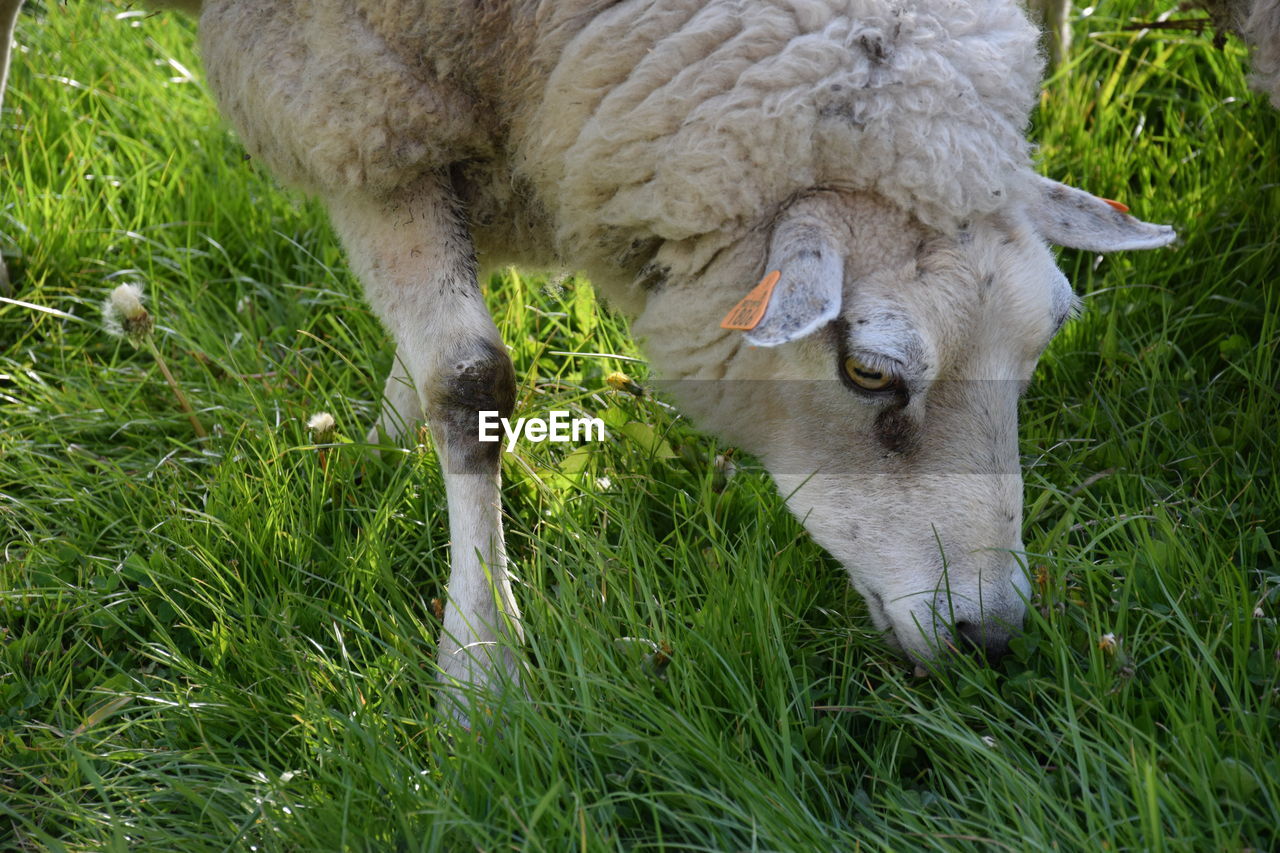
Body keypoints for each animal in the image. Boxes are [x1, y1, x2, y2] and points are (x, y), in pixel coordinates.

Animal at [5, 0, 1172, 722]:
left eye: (1039, 347)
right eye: (870, 373)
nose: (991, 635)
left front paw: (381, 435)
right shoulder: (357, 95)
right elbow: (470, 380)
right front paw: (481, 686)